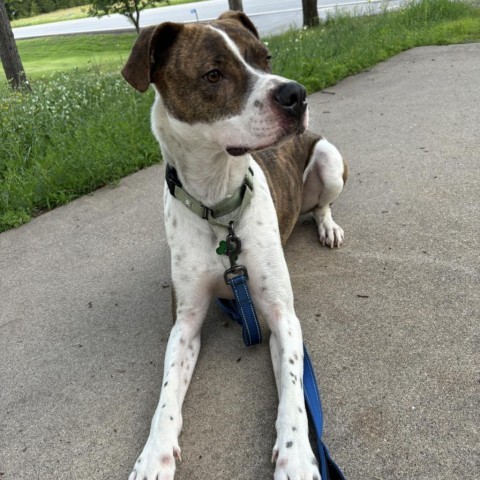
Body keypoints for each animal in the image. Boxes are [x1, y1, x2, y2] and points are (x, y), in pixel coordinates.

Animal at [122, 10, 346, 480]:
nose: (296, 94)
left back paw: (327, 227)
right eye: (213, 74)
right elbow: (166, 394)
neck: (218, 206)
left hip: (329, 160)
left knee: (322, 205)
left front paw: (297, 457)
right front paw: (154, 455)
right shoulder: (185, 323)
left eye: (265, 57)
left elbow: (294, 390)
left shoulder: (282, 316)